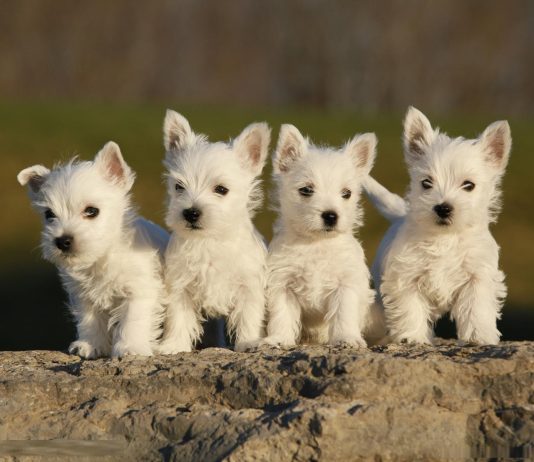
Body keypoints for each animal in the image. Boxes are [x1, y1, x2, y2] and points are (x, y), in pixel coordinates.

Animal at [18, 141, 170, 358]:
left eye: (92, 211)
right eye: (49, 214)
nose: (62, 241)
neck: (101, 258)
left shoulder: (139, 289)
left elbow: (133, 319)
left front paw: (130, 348)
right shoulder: (83, 295)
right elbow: (89, 320)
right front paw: (91, 345)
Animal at [157, 110, 270, 352]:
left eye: (221, 189)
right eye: (179, 186)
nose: (191, 213)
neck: (209, 240)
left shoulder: (248, 287)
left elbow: (249, 318)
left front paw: (249, 342)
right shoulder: (180, 287)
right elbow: (178, 318)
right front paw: (173, 346)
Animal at [262, 122, 376, 346]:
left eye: (346, 193)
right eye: (306, 190)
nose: (331, 215)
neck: (316, 243)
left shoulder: (345, 284)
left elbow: (344, 313)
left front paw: (346, 338)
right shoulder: (283, 284)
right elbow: (282, 315)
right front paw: (279, 339)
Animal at [366, 106, 512, 344]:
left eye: (468, 185)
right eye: (426, 183)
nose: (443, 208)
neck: (445, 238)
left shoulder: (477, 276)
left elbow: (476, 307)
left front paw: (479, 336)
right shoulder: (406, 277)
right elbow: (410, 308)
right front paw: (413, 337)